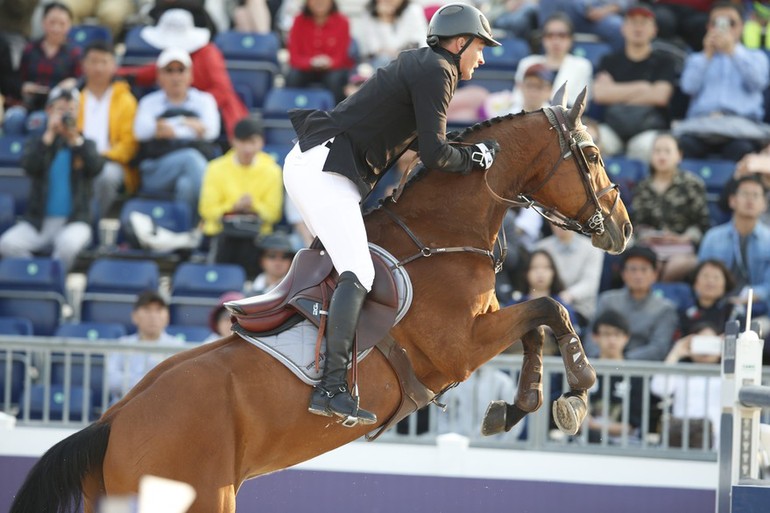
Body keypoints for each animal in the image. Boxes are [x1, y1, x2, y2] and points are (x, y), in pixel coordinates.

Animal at [10, 86, 632, 510]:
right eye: (592, 156)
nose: (623, 230)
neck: (440, 234)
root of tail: (112, 424)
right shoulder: (460, 346)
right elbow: (548, 309)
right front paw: (577, 391)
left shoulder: (484, 331)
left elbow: (537, 323)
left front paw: (520, 405)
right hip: (200, 496)